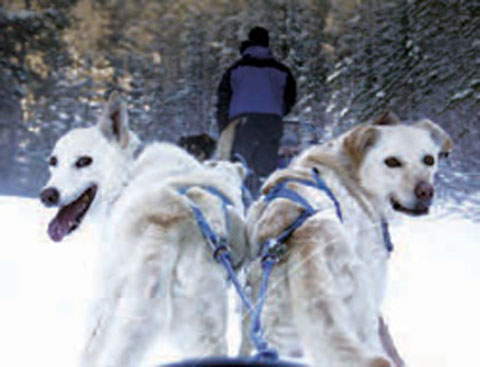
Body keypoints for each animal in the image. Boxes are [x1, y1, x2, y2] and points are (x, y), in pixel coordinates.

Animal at [40, 95, 248, 367]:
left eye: (84, 161)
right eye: (53, 161)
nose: (47, 195)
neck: (129, 173)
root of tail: (168, 226)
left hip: (109, 304)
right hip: (203, 334)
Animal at [242, 112, 452, 367]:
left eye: (429, 160)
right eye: (392, 162)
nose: (426, 191)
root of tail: (306, 237)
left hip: (273, 331)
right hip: (359, 319)